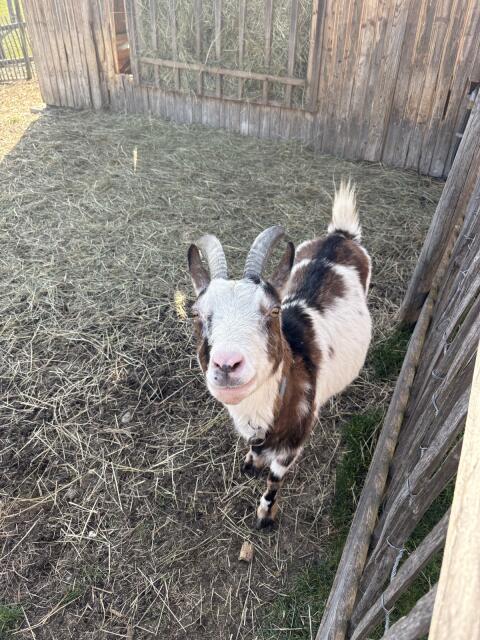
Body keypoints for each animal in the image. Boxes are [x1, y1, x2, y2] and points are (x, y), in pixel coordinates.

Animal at [187, 182, 372, 529]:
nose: (227, 365)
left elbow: (274, 478)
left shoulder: (293, 443)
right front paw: (251, 463)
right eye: (196, 314)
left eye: (273, 311)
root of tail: (341, 235)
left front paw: (265, 514)